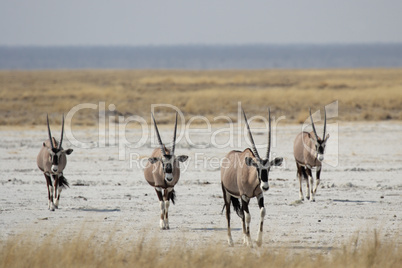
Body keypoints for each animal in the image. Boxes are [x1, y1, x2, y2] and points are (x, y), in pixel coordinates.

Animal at [221, 109, 284, 247]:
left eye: (269, 168)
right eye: (257, 168)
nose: (265, 186)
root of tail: (228, 155)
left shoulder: (258, 195)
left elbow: (262, 212)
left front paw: (257, 240)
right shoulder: (244, 196)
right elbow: (248, 216)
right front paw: (250, 242)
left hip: (246, 198)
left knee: (242, 214)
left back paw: (244, 238)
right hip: (227, 193)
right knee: (228, 214)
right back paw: (230, 240)